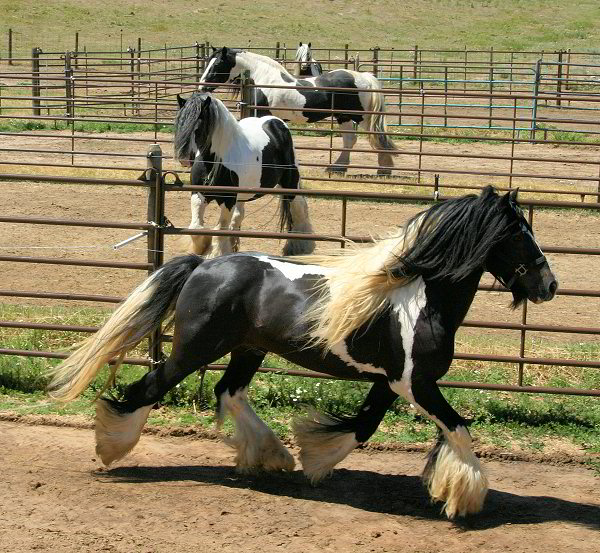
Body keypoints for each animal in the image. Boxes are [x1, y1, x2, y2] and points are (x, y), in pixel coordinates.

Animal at [48, 188, 556, 520]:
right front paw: (466, 498)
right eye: (519, 234)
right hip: (195, 348)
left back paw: (271, 456)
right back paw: (111, 448)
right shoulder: (415, 383)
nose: (549, 285)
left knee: (228, 392)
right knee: (149, 387)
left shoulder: (389, 381)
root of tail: (204, 266)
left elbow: (363, 426)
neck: (419, 298)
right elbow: (459, 429)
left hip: (248, 350)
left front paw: (316, 459)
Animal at [173, 91, 314, 256]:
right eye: (179, 123)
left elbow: (220, 230)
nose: (184, 158)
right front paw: (201, 248)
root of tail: (278, 123)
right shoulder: (198, 194)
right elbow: (196, 227)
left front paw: (216, 253)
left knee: (299, 210)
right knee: (239, 216)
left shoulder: (228, 200)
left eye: (198, 126)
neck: (214, 162)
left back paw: (299, 246)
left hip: (290, 185)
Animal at [198, 49, 398, 176]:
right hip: (344, 117)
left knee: (377, 137)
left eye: (217, 65)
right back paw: (337, 168)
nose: (201, 87)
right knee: (350, 140)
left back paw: (384, 169)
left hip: (361, 117)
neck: (261, 79)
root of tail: (364, 77)